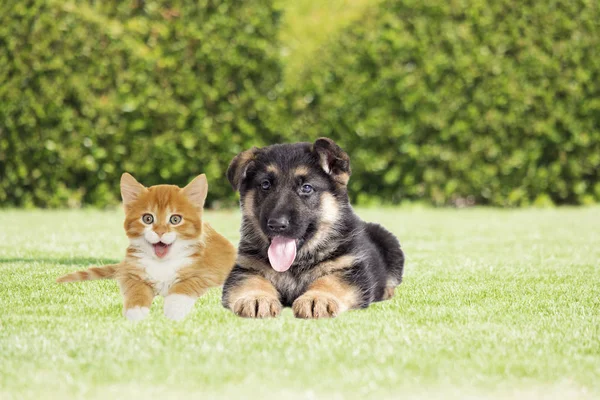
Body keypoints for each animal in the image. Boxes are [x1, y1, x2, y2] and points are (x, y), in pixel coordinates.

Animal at [55, 173, 234, 322]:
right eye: (148, 218)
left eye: (175, 219)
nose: (160, 232)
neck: (162, 263)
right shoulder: (130, 273)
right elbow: (136, 289)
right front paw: (136, 310)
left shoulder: (207, 273)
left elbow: (186, 285)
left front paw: (174, 309)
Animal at [223, 138, 406, 318]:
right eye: (265, 185)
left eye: (306, 188)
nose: (276, 224)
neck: (296, 264)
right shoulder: (245, 268)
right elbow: (252, 281)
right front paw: (256, 297)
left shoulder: (349, 270)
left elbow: (330, 282)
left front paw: (317, 298)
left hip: (390, 244)